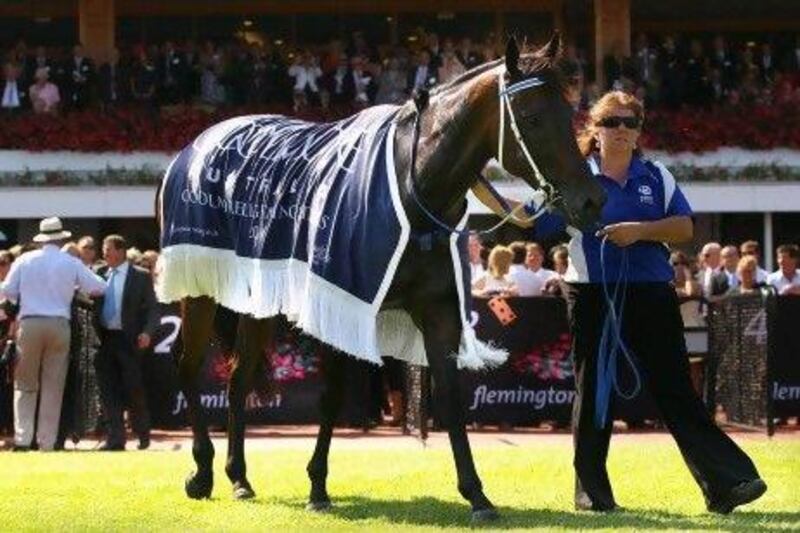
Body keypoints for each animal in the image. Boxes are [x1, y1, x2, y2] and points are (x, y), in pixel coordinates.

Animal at [156, 36, 608, 520]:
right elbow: (333, 394)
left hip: (256, 297)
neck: (412, 190)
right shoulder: (339, 300)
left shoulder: (438, 309)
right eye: (532, 118)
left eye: (570, 113)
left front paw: (477, 494)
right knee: (187, 364)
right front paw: (318, 485)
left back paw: (239, 477)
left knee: (238, 377)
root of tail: (195, 146)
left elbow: (450, 397)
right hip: (198, 286)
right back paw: (201, 472)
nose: (591, 200)